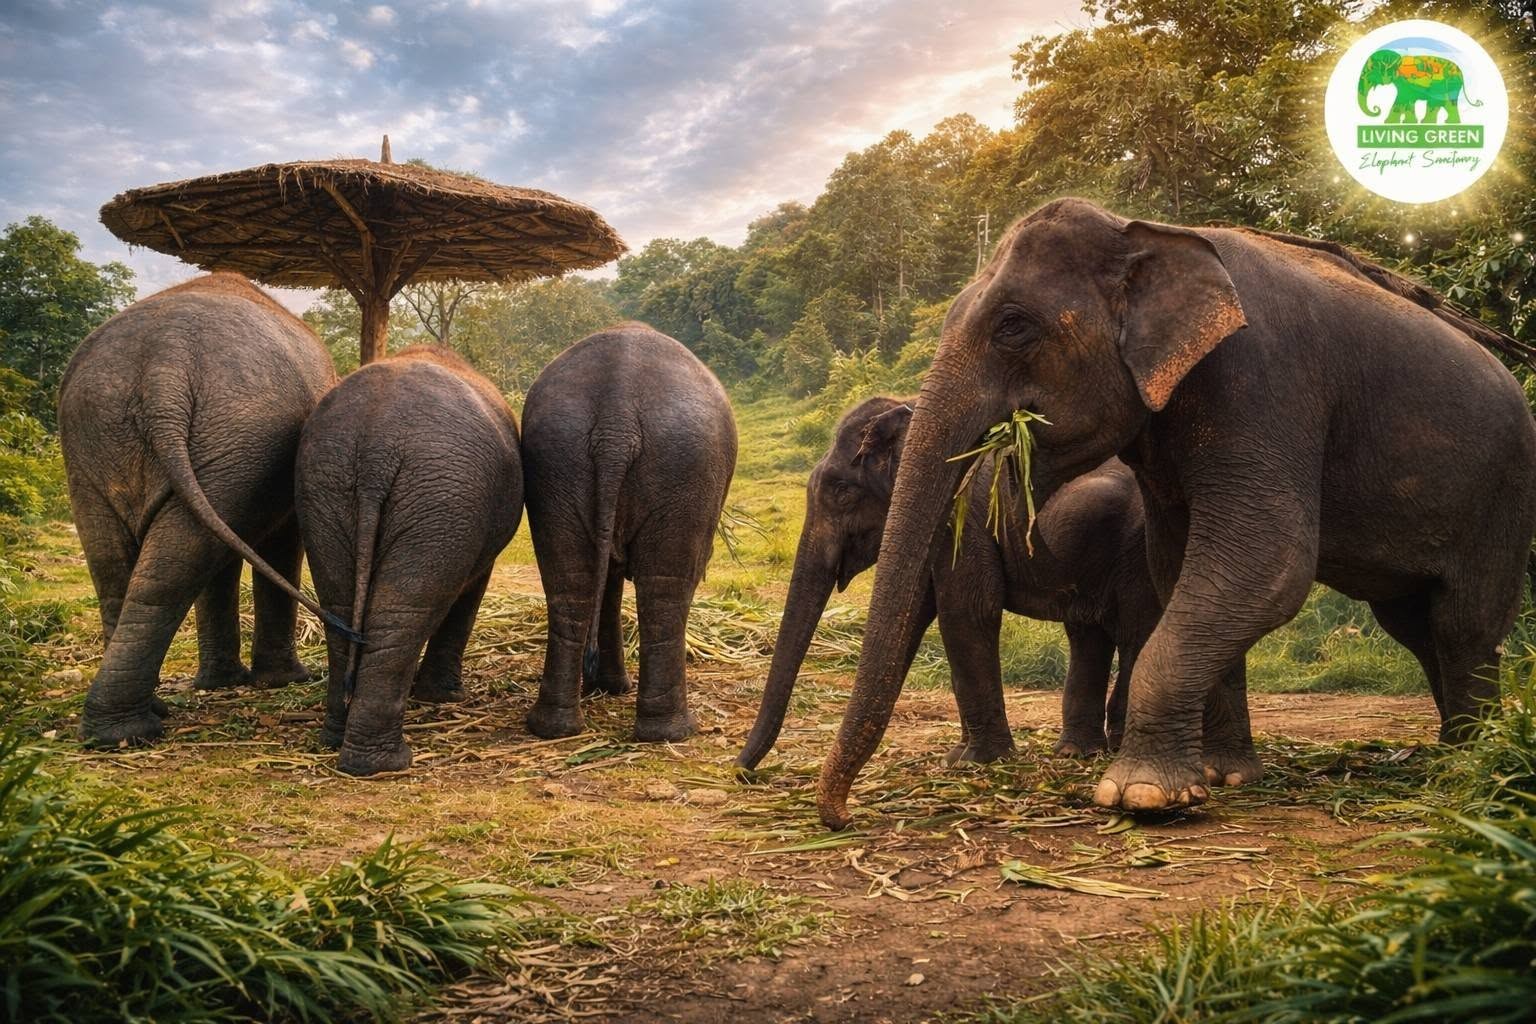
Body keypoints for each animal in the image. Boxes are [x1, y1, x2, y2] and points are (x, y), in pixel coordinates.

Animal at [59, 273, 340, 748]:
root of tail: (163, 369)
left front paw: (235, 683)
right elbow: (279, 543)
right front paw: (281, 681)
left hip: (108, 439)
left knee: (127, 567)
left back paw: (123, 728)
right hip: (219, 438)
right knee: (169, 564)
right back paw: (133, 728)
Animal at [295, 345, 523, 777]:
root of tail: (377, 448)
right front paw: (446, 697)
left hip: (327, 486)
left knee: (342, 609)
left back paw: (337, 738)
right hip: (440, 497)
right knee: (402, 615)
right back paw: (384, 762)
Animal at [521, 324, 737, 743]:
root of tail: (616, 419)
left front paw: (608, 689)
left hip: (554, 459)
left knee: (567, 583)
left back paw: (554, 727)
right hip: (684, 463)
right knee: (666, 589)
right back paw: (673, 732)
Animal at [737, 395, 1161, 770]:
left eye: (842, 493)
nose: (740, 770)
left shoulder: (961, 515)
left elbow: (967, 609)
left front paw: (976, 761)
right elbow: (917, 612)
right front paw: (958, 756)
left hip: (1137, 551)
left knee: (1135, 630)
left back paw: (1120, 750)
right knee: (1089, 633)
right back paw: (1078, 753)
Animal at [816, 197, 1536, 828]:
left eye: (1013, 325)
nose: (842, 816)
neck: (1145, 231)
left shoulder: (1265, 382)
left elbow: (1267, 563)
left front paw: (1143, 796)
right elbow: (1182, 567)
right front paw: (1225, 775)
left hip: (1504, 494)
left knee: (1463, 621)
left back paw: (1466, 762)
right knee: (1415, 622)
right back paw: (1451, 748)